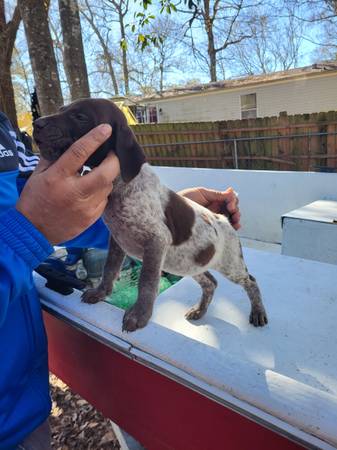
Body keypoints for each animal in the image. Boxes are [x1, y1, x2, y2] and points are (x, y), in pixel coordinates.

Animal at [32, 97, 266, 330]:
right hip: (188, 264)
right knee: (211, 283)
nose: (36, 124)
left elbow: (147, 281)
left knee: (251, 282)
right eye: (61, 110)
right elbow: (109, 269)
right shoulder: (117, 240)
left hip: (230, 265)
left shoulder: (156, 241)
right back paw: (200, 310)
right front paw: (101, 292)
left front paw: (139, 314)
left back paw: (258, 312)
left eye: (80, 116)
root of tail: (224, 219)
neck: (120, 185)